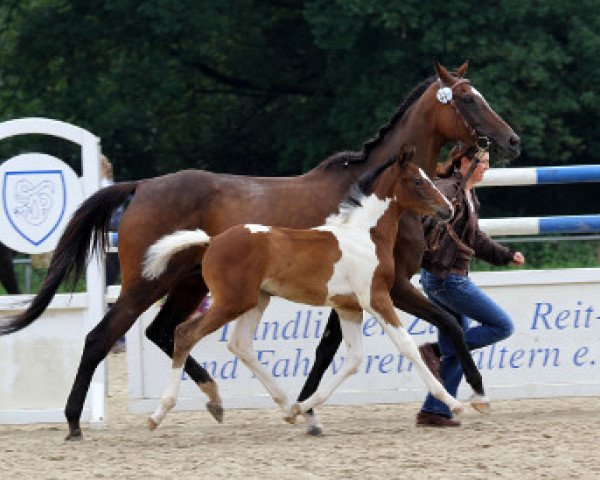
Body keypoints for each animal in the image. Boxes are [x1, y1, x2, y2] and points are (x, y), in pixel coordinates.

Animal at [142, 150, 468, 432]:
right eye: (417, 181)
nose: (448, 209)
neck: (365, 235)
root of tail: (212, 241)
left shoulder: (349, 306)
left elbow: (354, 359)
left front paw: (304, 407)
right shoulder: (375, 298)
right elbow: (407, 346)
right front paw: (455, 403)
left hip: (255, 300)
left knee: (240, 344)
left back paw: (287, 407)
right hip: (231, 301)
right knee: (185, 333)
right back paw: (159, 414)